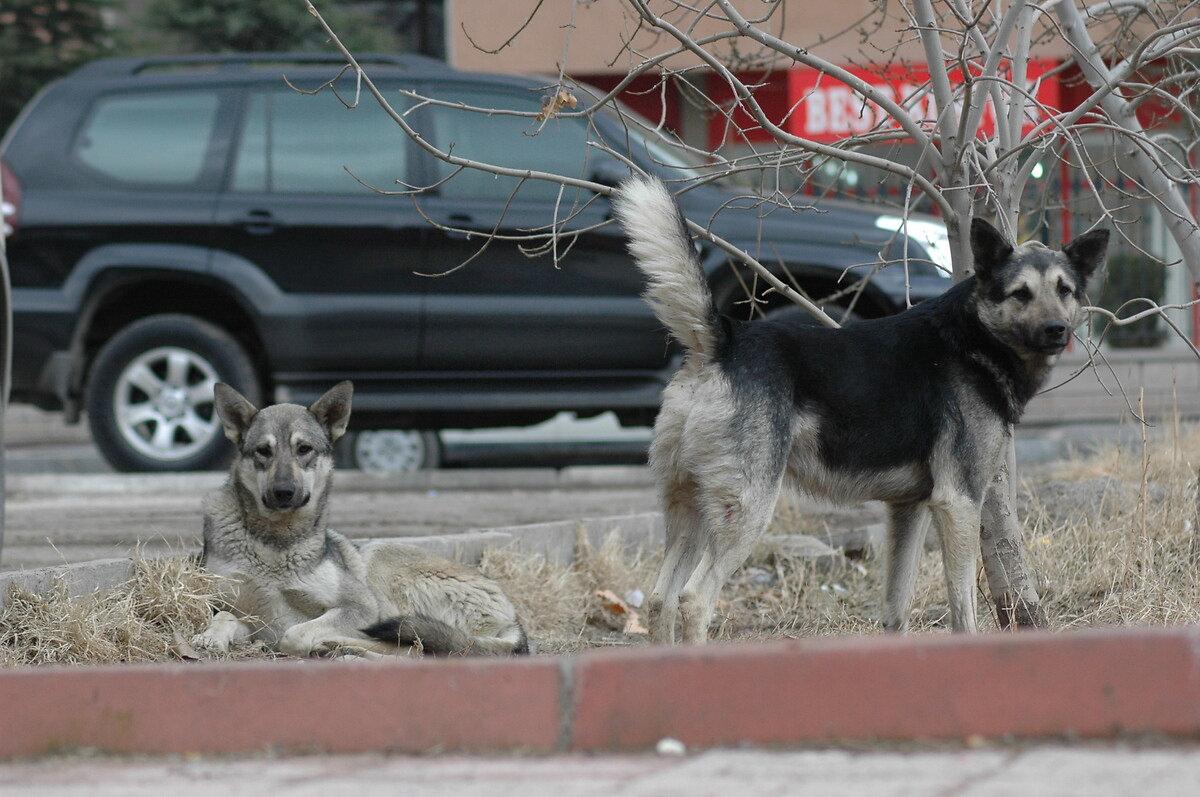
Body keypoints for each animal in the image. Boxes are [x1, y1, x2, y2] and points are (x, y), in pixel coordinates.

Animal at [189, 384, 528, 657]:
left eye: (304, 449)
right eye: (263, 451)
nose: (283, 492)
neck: (276, 541)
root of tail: (513, 618)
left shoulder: (360, 606)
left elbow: (294, 633)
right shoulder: (245, 613)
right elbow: (225, 617)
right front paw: (211, 637)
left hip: (378, 558)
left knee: (406, 645)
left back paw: (336, 646)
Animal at [614, 174, 1108, 643]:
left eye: (1065, 290)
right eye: (1020, 294)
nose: (1057, 330)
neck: (971, 338)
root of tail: (724, 341)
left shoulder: (909, 510)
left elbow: (897, 608)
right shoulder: (959, 503)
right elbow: (963, 608)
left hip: (692, 512)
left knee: (660, 600)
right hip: (746, 513)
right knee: (694, 599)